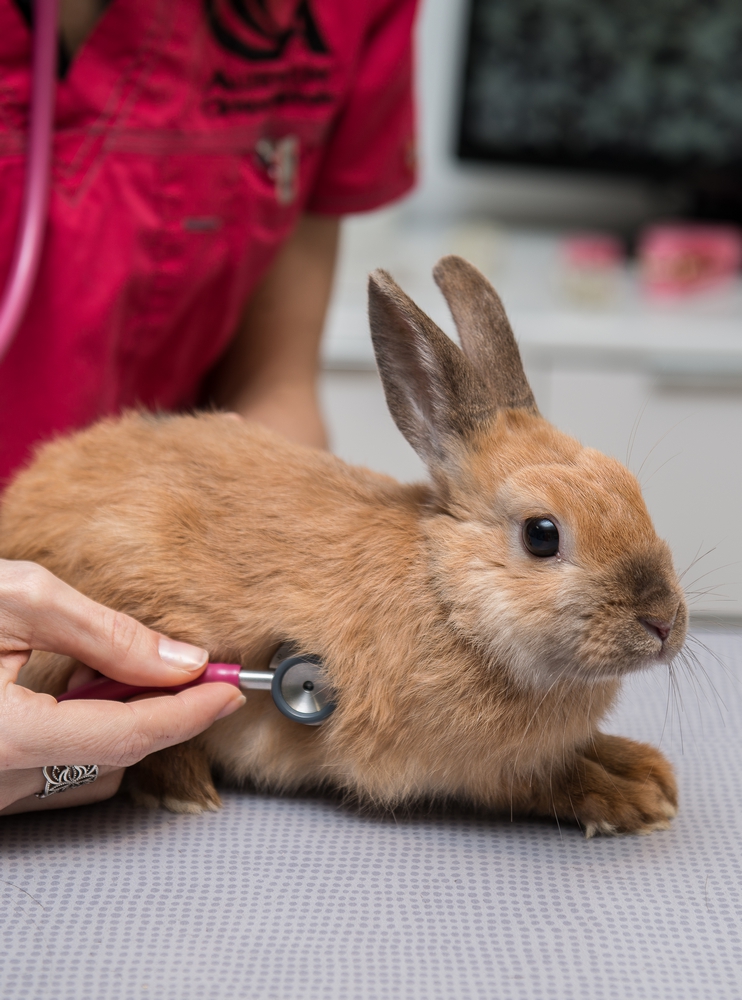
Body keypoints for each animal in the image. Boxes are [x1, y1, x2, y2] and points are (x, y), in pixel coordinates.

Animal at [0, 254, 688, 832]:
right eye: (542, 535)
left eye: (632, 489)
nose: (663, 623)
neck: (448, 596)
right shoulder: (472, 765)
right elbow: (543, 783)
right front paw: (632, 799)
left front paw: (644, 773)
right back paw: (186, 789)